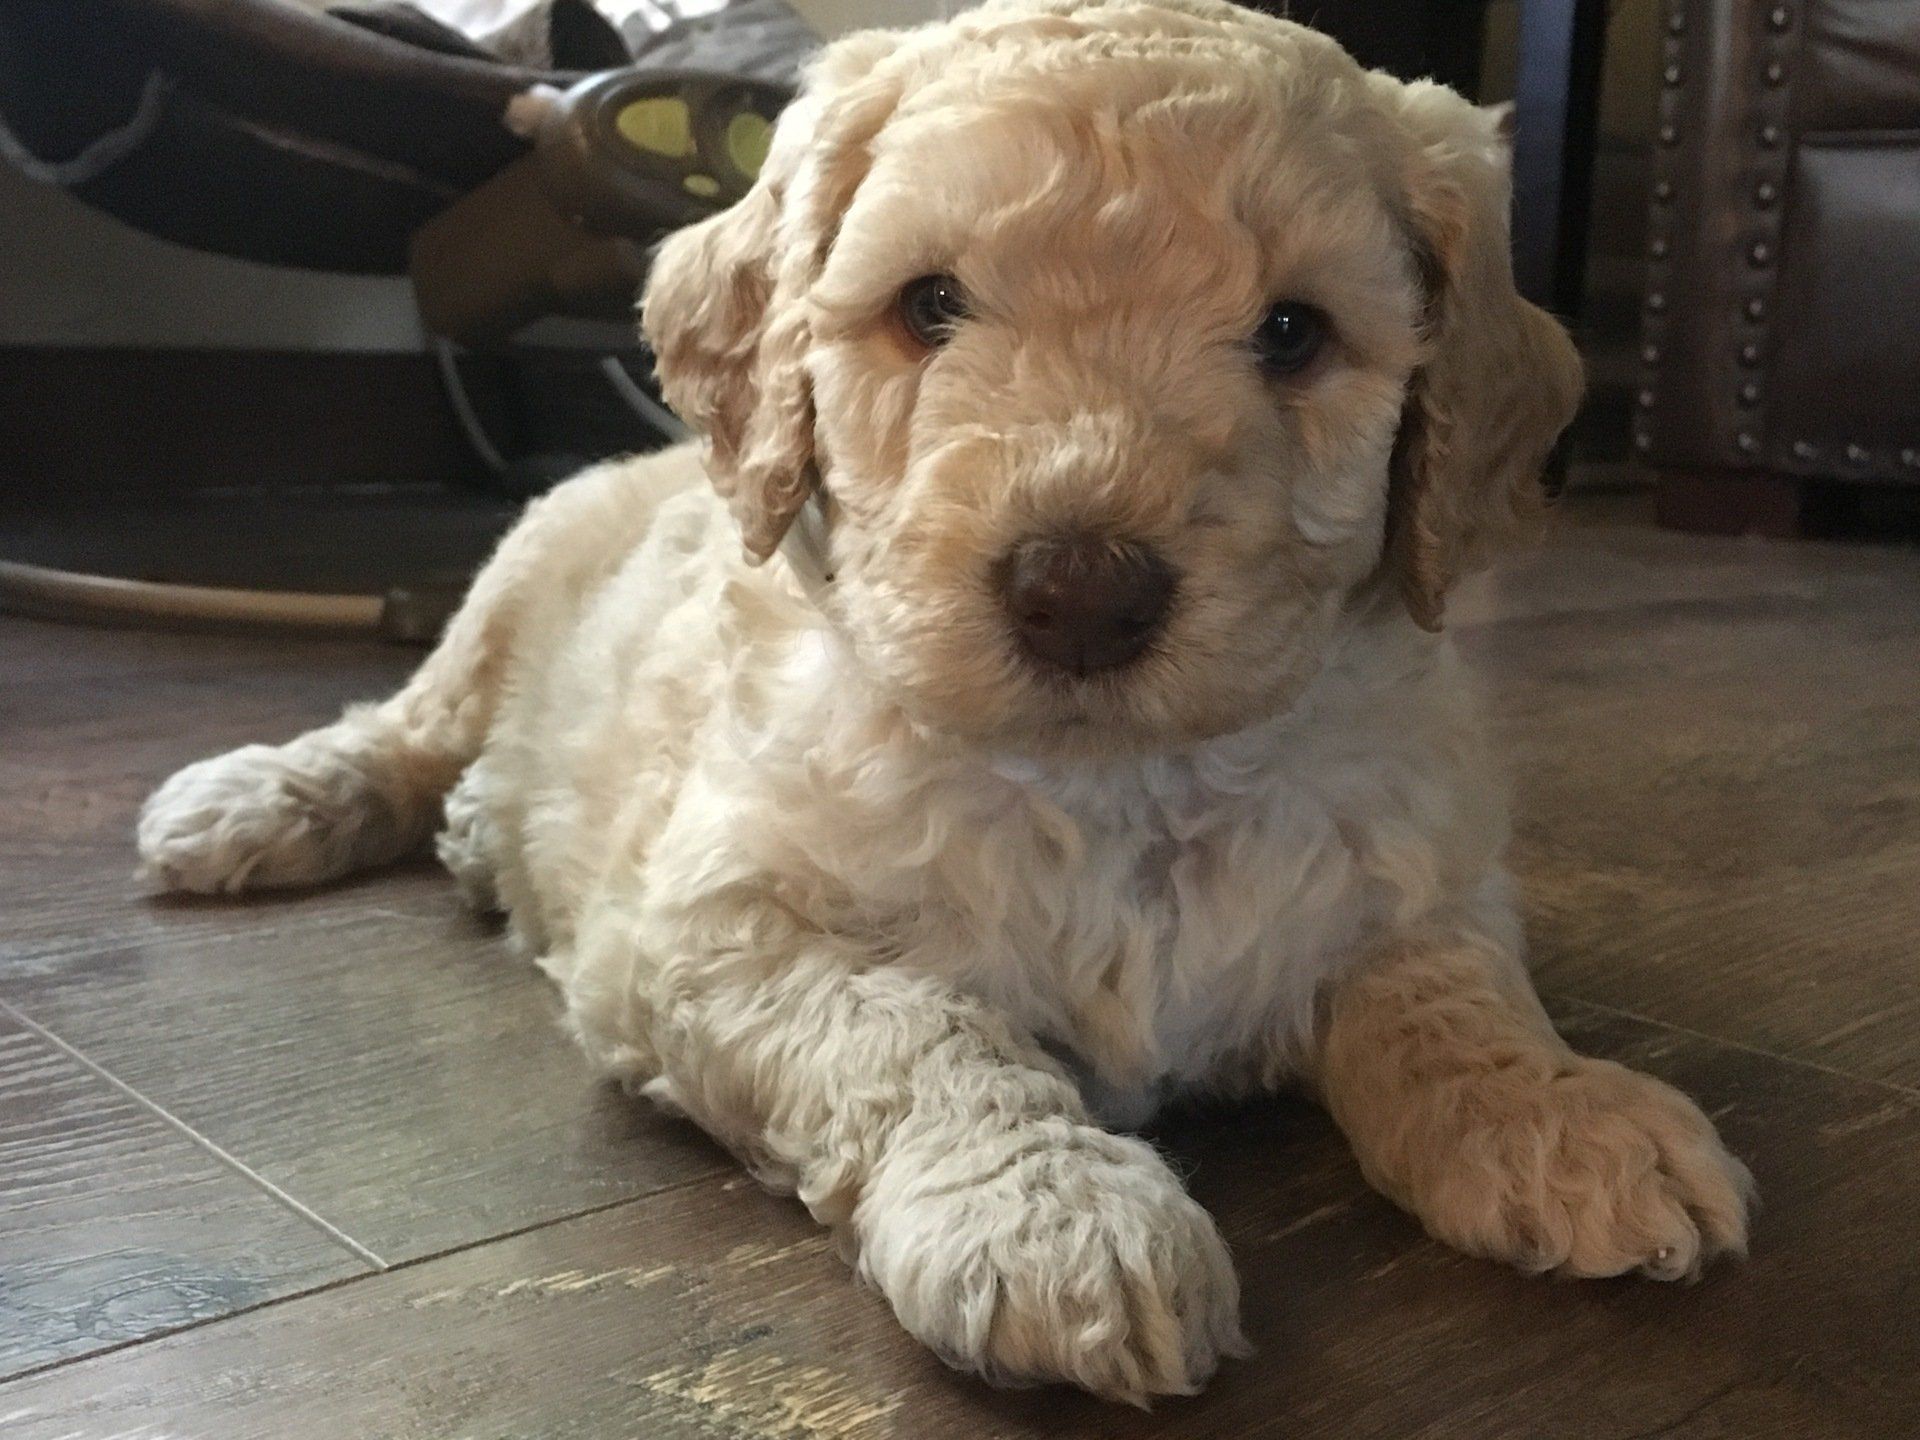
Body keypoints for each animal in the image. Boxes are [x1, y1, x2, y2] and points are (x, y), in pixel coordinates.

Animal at [135, 0, 1758, 1405]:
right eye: (929, 307)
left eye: (1295, 333)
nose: (1082, 590)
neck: (1118, 785)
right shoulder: (713, 929)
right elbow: (915, 1031)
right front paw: (1049, 1217)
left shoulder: (1417, 872)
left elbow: (1450, 998)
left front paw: (1561, 1114)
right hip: (518, 572)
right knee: (410, 728)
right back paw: (261, 802)